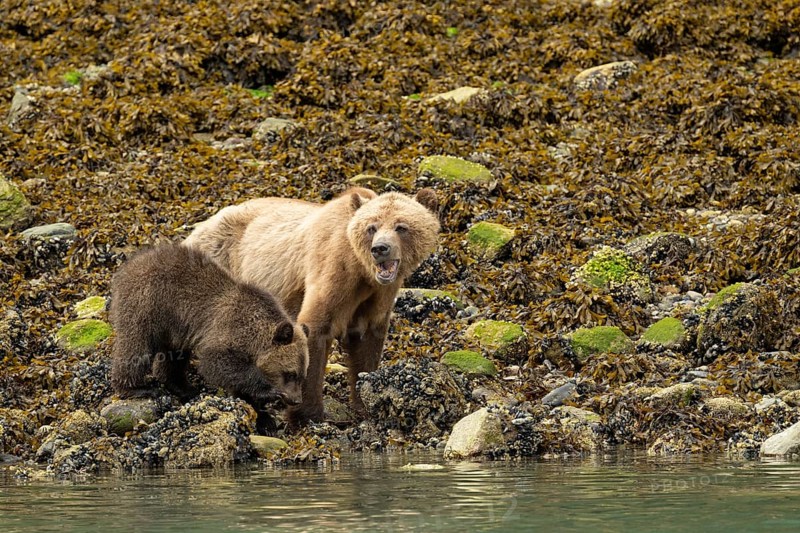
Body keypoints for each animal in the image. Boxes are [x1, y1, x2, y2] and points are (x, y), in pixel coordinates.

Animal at [108, 243, 309, 411]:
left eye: (302, 375)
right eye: (289, 374)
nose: (296, 399)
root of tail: (127, 267)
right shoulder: (226, 329)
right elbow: (217, 364)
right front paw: (268, 392)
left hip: (172, 326)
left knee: (173, 357)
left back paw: (184, 387)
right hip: (146, 304)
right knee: (136, 347)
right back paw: (137, 388)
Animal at [183, 187, 440, 425]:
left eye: (401, 226)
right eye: (372, 227)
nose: (380, 249)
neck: (363, 272)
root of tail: (200, 226)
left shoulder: (378, 296)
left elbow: (367, 345)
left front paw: (364, 404)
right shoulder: (333, 272)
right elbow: (315, 328)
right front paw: (307, 414)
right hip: (222, 264)